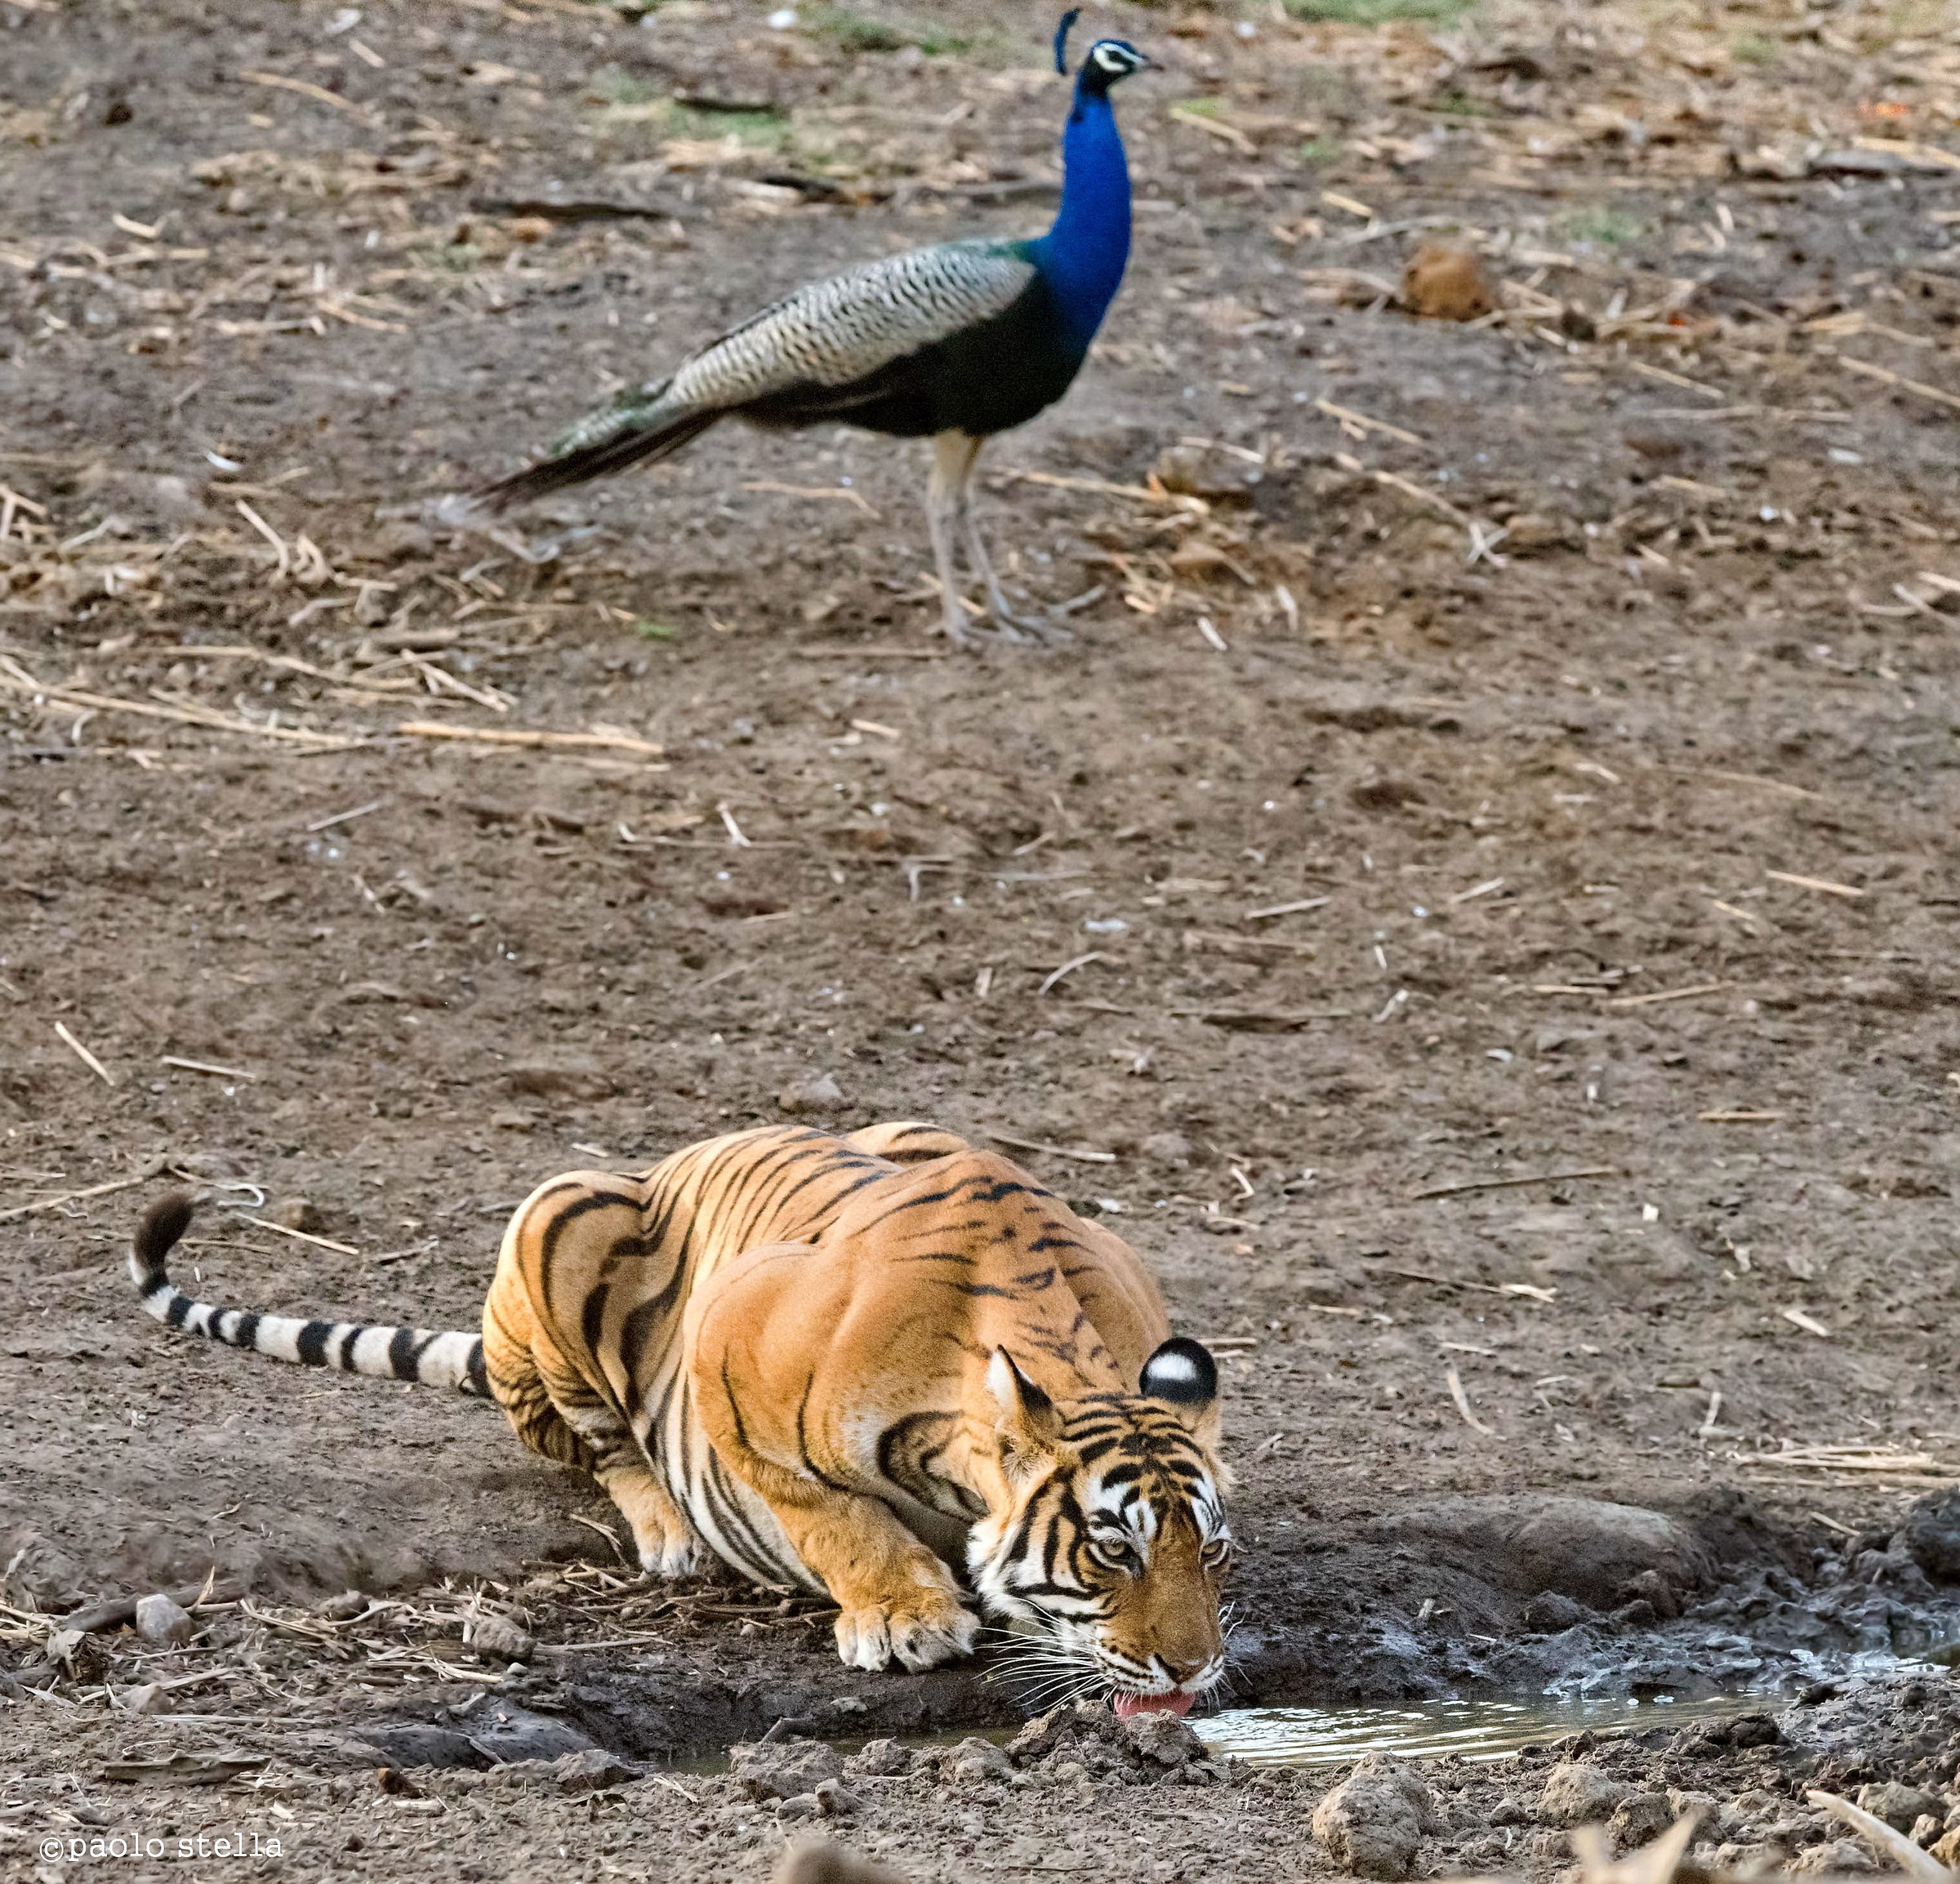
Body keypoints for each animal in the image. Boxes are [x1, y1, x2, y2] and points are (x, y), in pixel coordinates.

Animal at [129, 1120, 1232, 1713]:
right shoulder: (730, 1352)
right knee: (604, 1446)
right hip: (558, 1215)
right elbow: (831, 1517)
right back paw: (671, 1536)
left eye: (1210, 1552)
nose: (1196, 1666)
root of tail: (659, 1165)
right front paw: (905, 1618)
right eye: (1115, 1551)